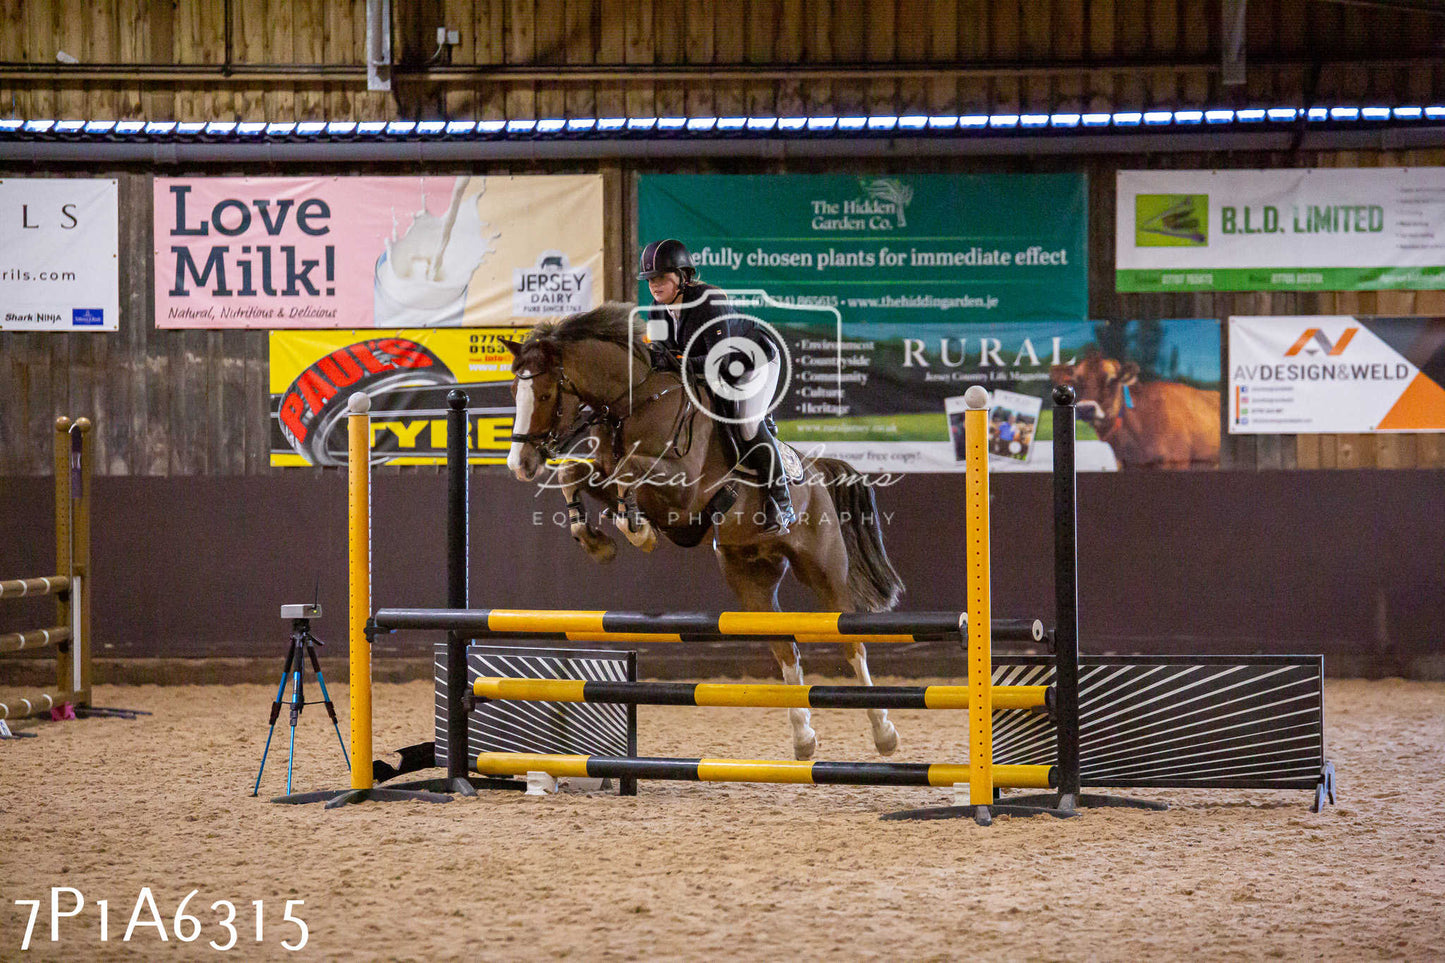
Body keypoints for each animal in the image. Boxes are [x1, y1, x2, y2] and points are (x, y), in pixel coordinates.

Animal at [497, 302, 901, 757]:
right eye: (513, 393)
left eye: (546, 395)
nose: (520, 465)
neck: (635, 401)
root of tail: (815, 473)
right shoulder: (609, 473)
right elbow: (575, 474)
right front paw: (597, 541)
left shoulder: (685, 488)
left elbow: (628, 471)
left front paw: (637, 531)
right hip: (750, 575)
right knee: (785, 649)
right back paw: (803, 740)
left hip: (823, 568)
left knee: (851, 642)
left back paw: (884, 733)